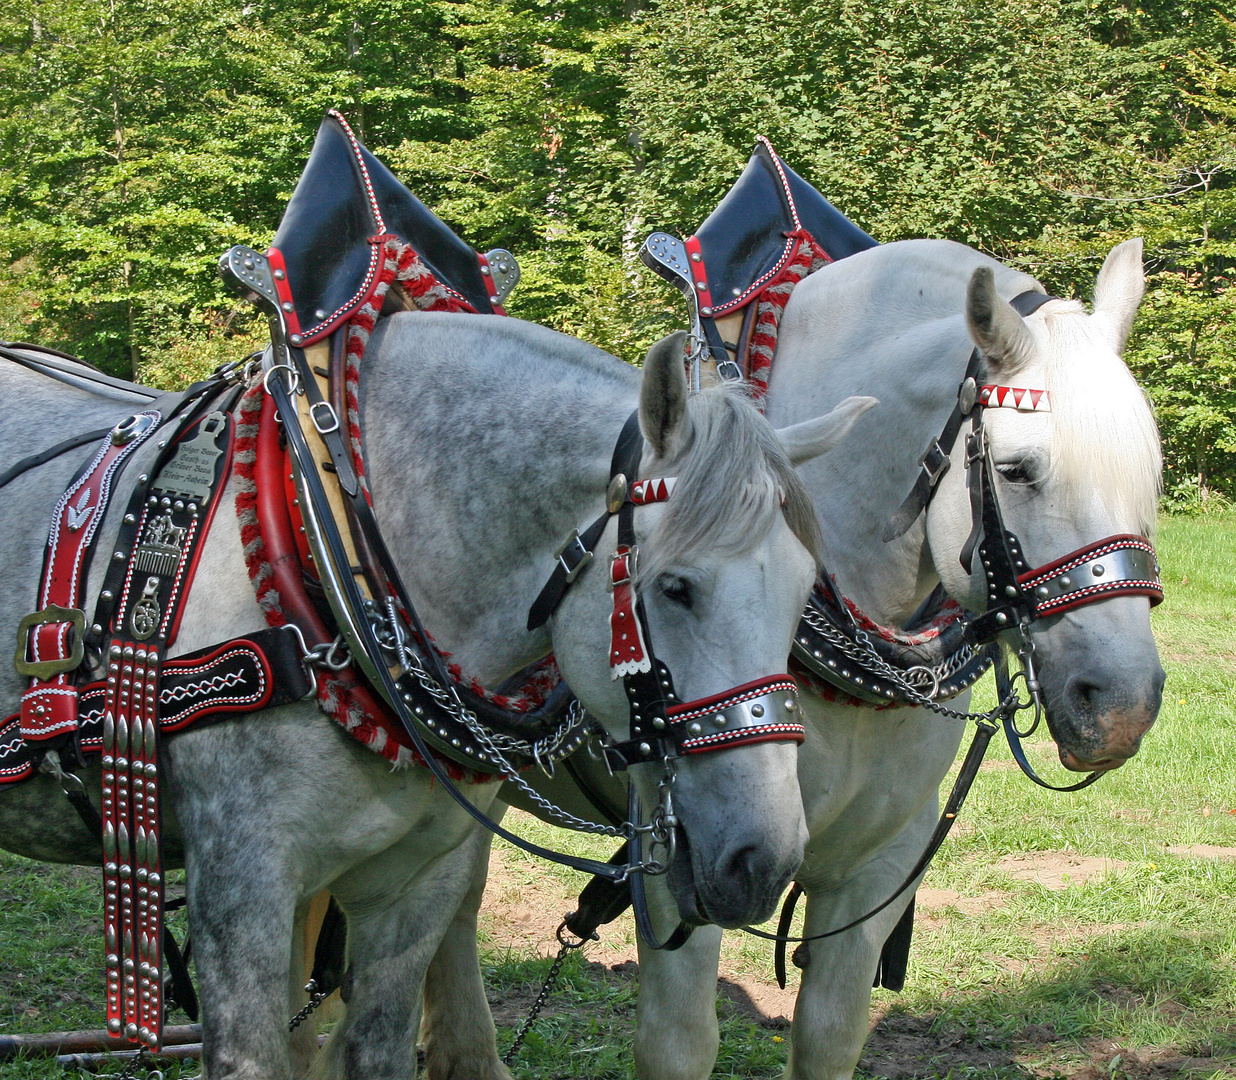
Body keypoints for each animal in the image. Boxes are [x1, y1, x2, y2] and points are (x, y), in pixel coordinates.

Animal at [0, 313, 875, 1077]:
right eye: (676, 587)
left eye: (805, 594)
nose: (764, 861)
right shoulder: (242, 889)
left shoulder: (413, 888)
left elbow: (377, 1051)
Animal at [422, 236, 1156, 1077]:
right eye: (1018, 470)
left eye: (1150, 470)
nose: (1123, 704)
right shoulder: (688, 855)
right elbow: (679, 1042)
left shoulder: (881, 860)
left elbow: (832, 1030)